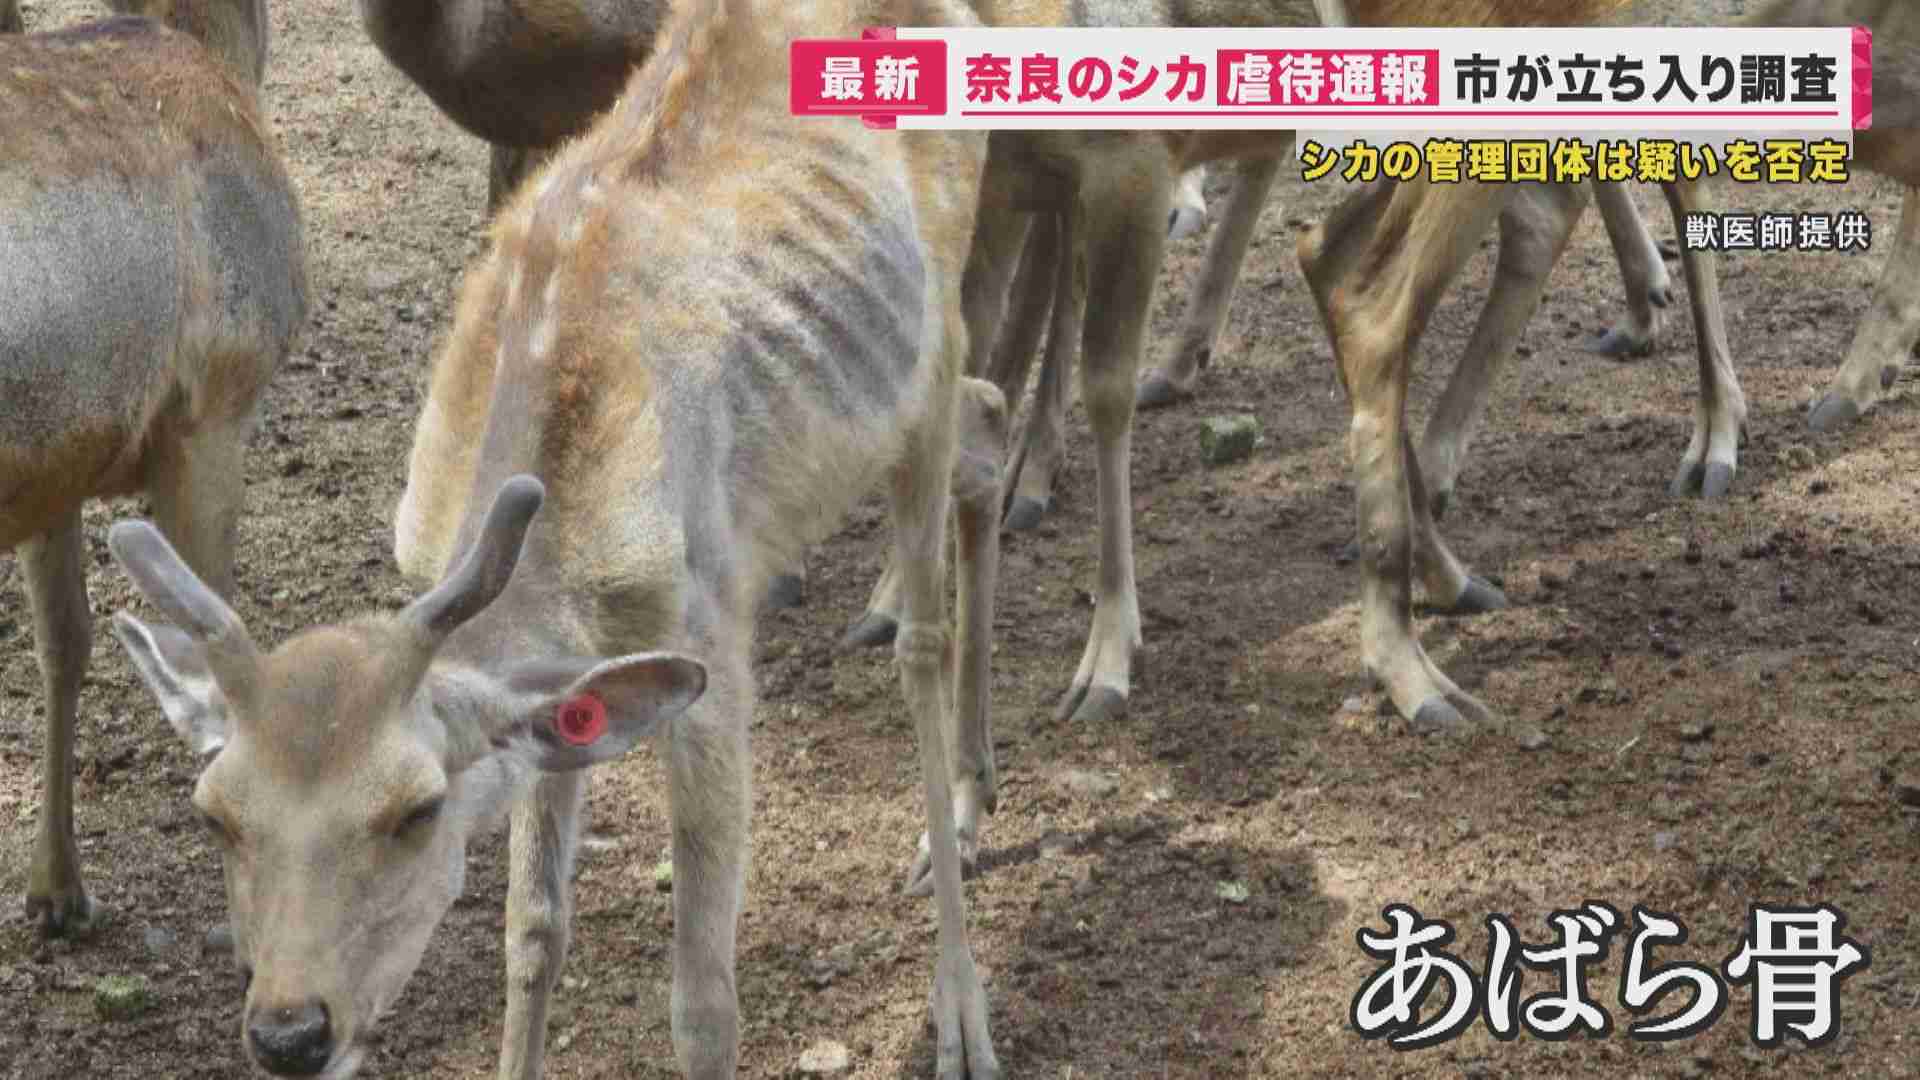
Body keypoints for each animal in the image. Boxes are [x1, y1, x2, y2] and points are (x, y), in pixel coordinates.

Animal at [107, 0, 1005, 1077]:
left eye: (416, 809)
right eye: (216, 814)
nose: (289, 1032)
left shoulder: (712, 633)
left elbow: (704, 1001)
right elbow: (532, 929)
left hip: (932, 342)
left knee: (924, 633)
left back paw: (961, 1000)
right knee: (992, 426)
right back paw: (982, 791)